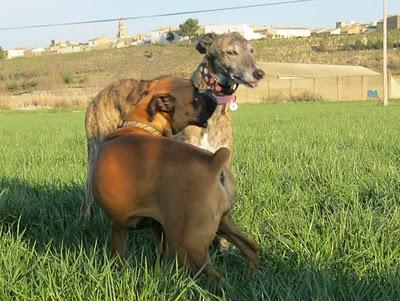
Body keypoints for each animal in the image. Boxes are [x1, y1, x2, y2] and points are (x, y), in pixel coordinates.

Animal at [90, 98, 260, 276]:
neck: (135, 125)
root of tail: (213, 162)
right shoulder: (156, 226)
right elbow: (161, 253)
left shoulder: (118, 226)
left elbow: (118, 257)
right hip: (223, 223)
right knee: (251, 249)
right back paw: (251, 278)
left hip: (188, 246)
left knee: (216, 276)